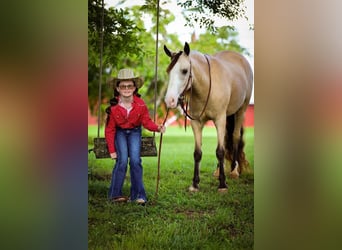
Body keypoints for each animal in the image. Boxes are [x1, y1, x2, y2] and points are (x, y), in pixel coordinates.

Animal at [163, 42, 254, 191]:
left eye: (184, 71)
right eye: (168, 71)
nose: (169, 100)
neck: (205, 88)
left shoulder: (220, 119)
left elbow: (220, 152)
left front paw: (222, 184)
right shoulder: (196, 123)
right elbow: (198, 153)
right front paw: (195, 184)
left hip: (241, 110)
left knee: (235, 136)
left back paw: (234, 170)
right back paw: (218, 170)